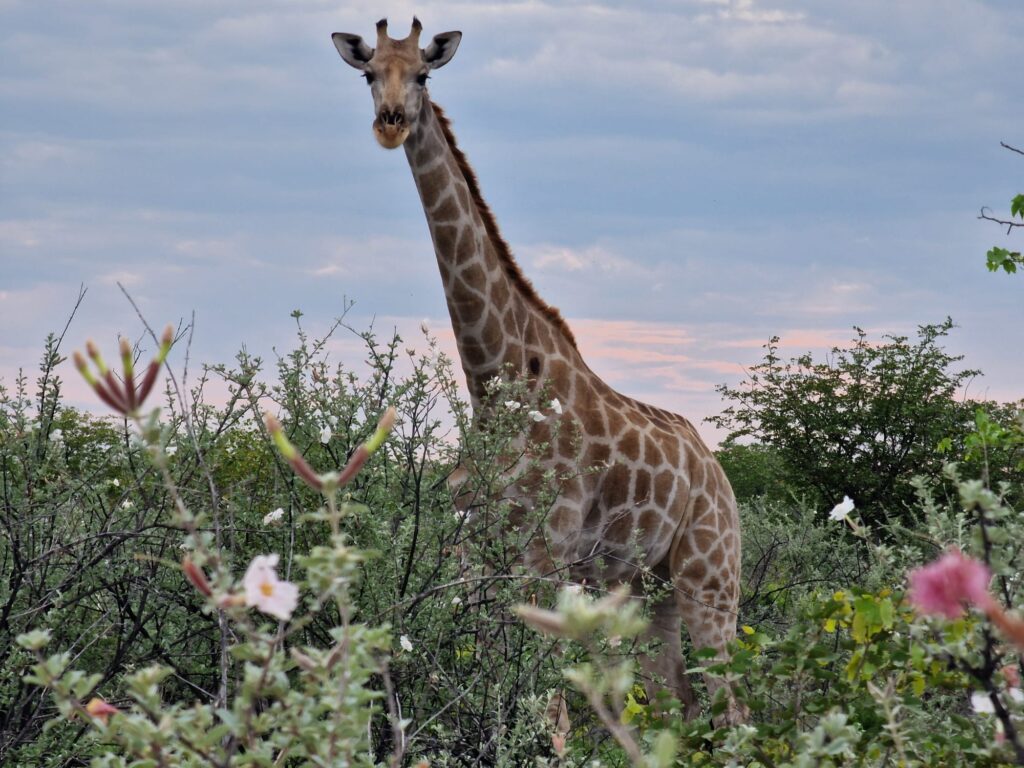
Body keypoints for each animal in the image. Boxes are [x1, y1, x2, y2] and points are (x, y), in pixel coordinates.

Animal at [333, 18, 745, 729]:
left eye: (424, 74)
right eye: (368, 74)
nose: (390, 122)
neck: (493, 380)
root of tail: (720, 477)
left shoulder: (545, 554)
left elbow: (548, 709)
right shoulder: (477, 558)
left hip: (712, 576)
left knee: (735, 708)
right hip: (649, 585)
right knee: (679, 705)